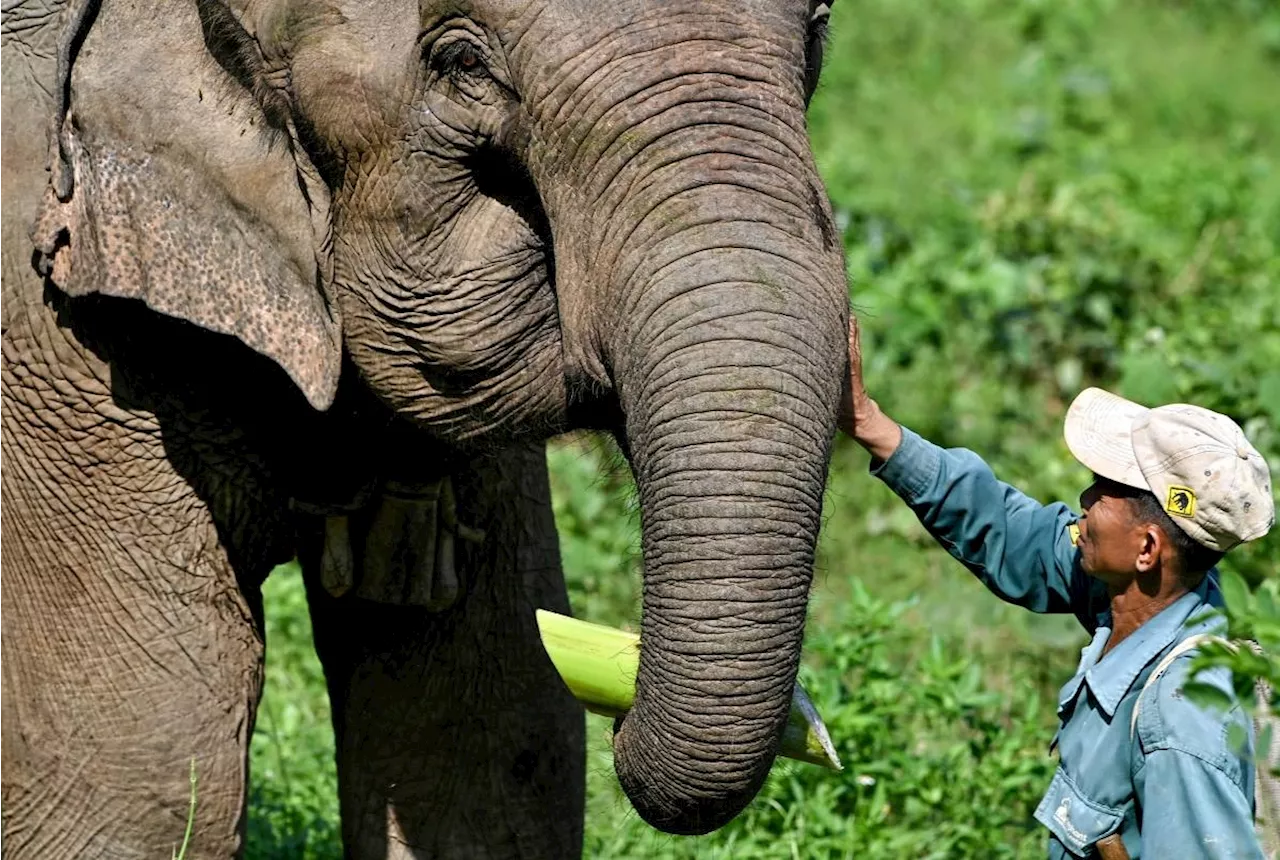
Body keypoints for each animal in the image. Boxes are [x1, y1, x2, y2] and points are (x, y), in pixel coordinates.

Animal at [2, 0, 849, 854]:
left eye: (818, 30)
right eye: (462, 63)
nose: (619, 684)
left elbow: (490, 726)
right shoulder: (66, 341)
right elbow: (143, 768)